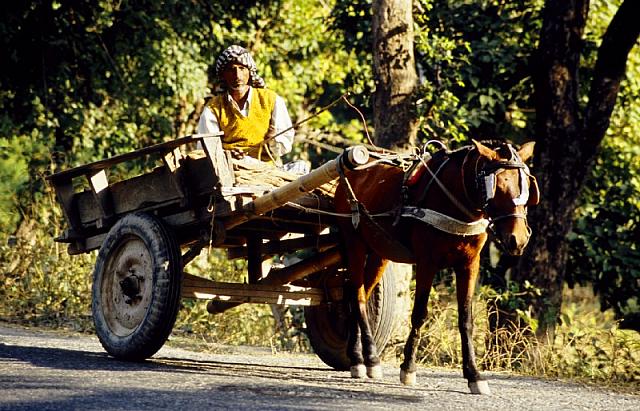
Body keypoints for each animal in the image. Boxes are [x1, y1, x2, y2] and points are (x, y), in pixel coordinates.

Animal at [336, 141, 540, 396]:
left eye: (527, 185)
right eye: (498, 187)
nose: (518, 240)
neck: (454, 202)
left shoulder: (469, 265)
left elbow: (466, 319)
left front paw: (474, 375)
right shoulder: (427, 261)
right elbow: (419, 314)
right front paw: (409, 367)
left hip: (378, 251)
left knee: (356, 292)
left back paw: (356, 357)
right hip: (353, 242)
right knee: (358, 296)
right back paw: (369, 359)